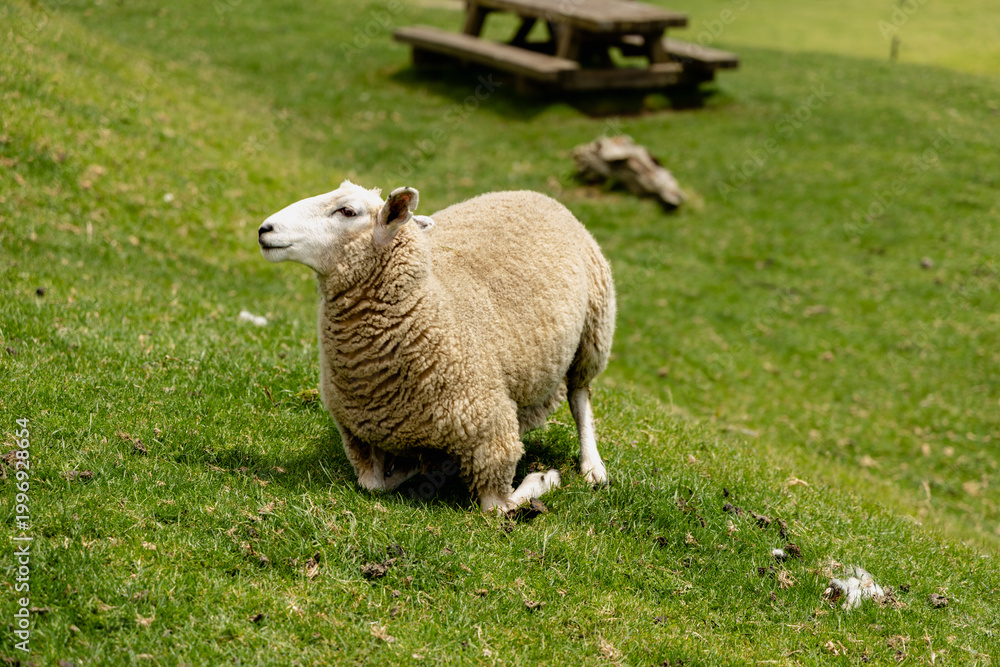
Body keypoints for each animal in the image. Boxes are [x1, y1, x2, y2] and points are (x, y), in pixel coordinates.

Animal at [258, 180, 616, 512]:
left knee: (580, 396)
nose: (265, 229)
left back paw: (592, 467)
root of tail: (531, 193)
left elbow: (501, 507)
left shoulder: (493, 437)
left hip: (593, 332)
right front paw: (417, 466)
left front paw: (545, 478)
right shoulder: (359, 436)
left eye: (347, 211)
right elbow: (375, 485)